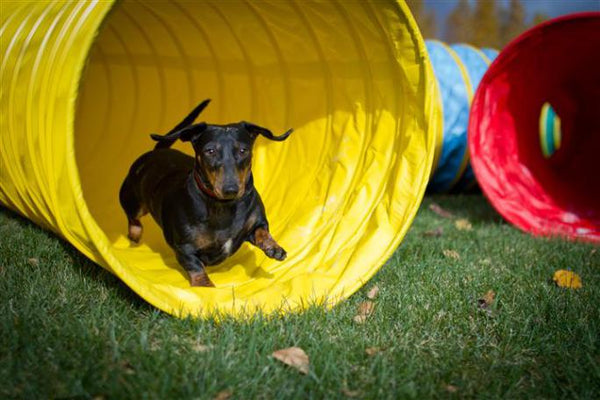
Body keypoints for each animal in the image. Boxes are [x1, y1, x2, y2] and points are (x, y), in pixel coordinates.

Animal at [118, 100, 292, 288]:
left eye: (243, 150)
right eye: (210, 151)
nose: (230, 189)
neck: (224, 206)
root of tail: (155, 151)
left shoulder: (256, 223)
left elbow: (262, 232)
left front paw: (274, 248)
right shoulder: (185, 248)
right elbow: (196, 267)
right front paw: (205, 287)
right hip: (133, 200)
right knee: (132, 217)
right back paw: (135, 234)